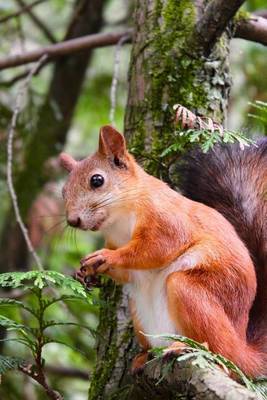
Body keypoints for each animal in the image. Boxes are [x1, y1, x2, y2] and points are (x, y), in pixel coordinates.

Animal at [59, 126, 267, 378]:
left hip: (193, 293)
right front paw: (85, 272)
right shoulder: (115, 241)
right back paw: (144, 356)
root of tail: (242, 347)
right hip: (139, 312)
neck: (119, 219)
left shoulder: (166, 218)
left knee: (223, 354)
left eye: (96, 180)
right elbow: (126, 272)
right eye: (63, 191)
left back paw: (191, 348)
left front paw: (105, 257)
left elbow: (156, 248)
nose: (73, 220)